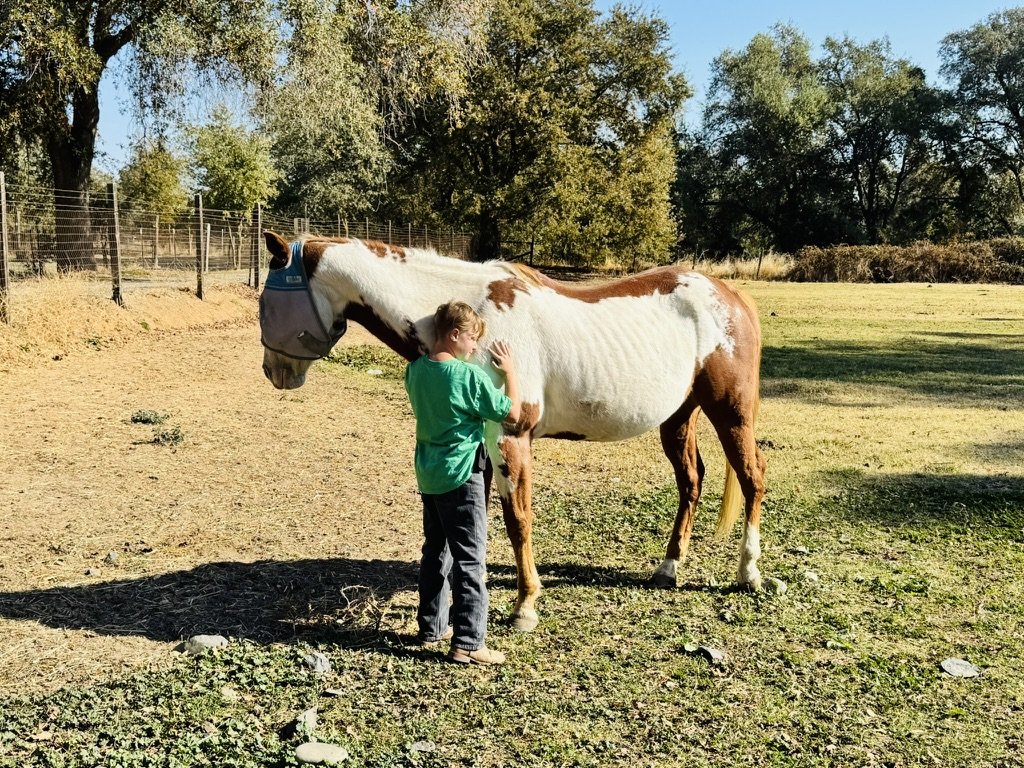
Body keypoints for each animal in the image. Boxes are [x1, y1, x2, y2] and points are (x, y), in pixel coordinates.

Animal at [258, 231, 766, 632]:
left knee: (752, 477)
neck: (481, 320)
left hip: (731, 413)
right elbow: (477, 524)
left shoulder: (510, 438)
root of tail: (732, 297)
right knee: (691, 482)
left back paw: (749, 574)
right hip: (679, 418)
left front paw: (525, 607)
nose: (272, 372)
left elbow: (517, 521)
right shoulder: (481, 446)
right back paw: (668, 569)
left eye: (265, 302)